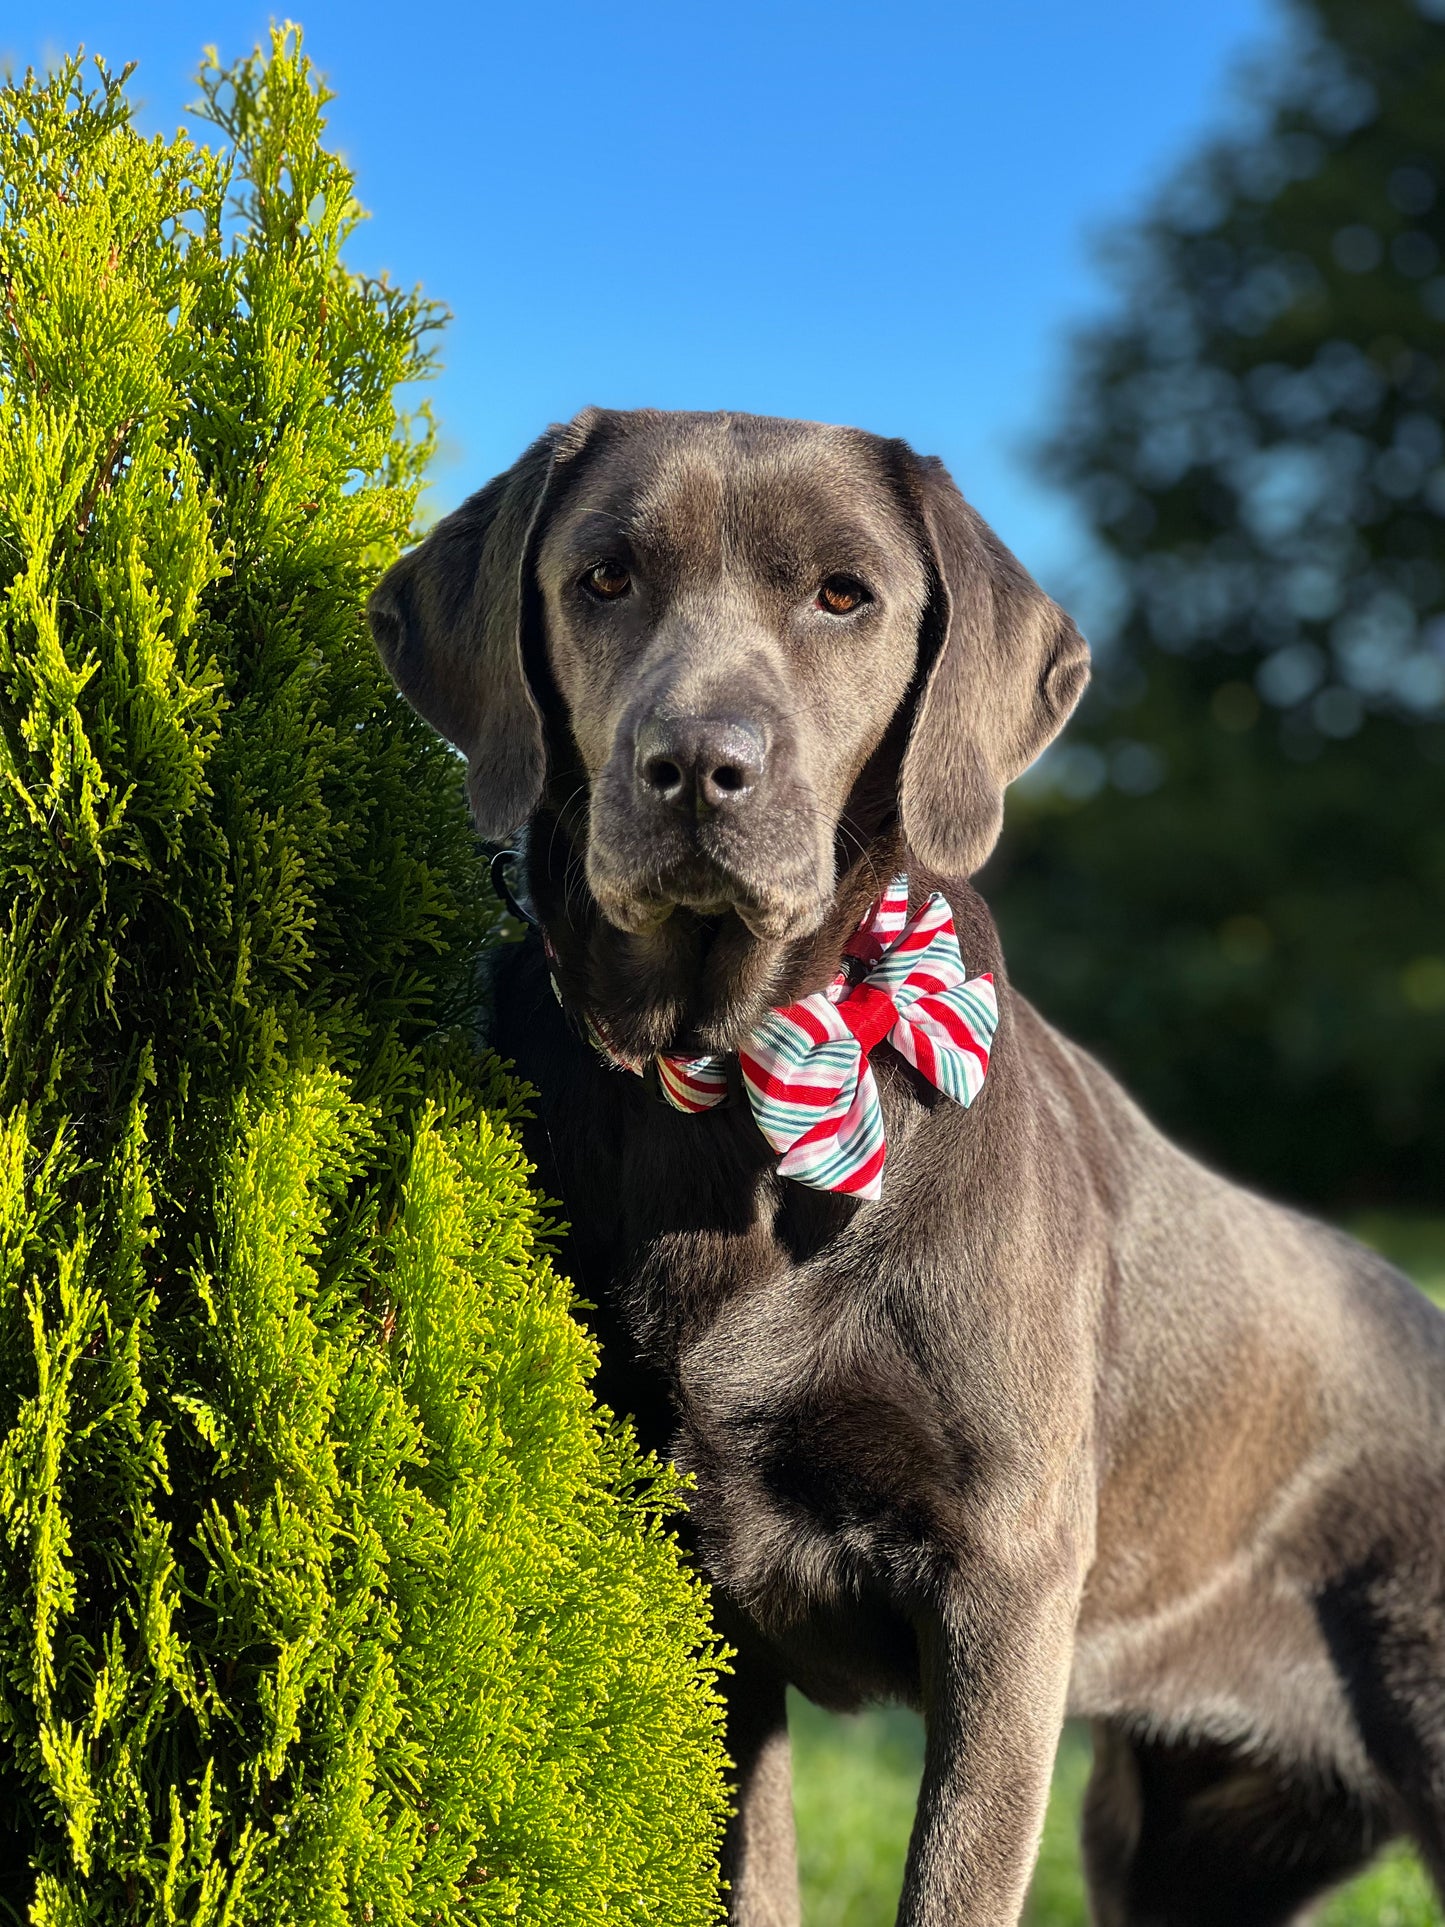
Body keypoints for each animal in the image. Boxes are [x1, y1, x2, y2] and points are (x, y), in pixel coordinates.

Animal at [369, 410, 1445, 1927]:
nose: (696, 763)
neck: (743, 1072)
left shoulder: (1003, 1585)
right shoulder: (696, 1601)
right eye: (603, 577)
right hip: (1184, 1846)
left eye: (842, 595)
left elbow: (950, 1882)